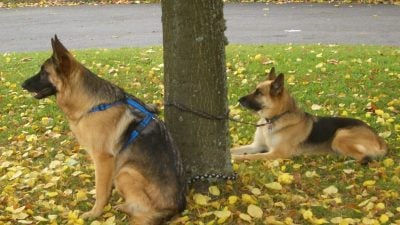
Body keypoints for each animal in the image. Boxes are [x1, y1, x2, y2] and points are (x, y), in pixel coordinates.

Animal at [21, 35, 185, 225]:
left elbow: (100, 190)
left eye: (43, 72)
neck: (91, 105)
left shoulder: (102, 159)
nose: (22, 84)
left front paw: (95, 213)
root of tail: (176, 208)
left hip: (125, 173)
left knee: (145, 211)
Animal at [231, 67, 388, 163]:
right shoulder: (256, 146)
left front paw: (234, 159)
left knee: (364, 158)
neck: (275, 119)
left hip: (340, 135)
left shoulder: (276, 154)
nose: (239, 100)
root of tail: (378, 138)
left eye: (258, 93)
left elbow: (250, 156)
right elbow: (236, 149)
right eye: (254, 90)